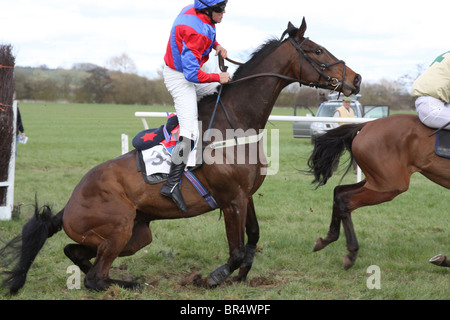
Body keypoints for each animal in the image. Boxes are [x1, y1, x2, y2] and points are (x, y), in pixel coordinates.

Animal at [0, 17, 358, 294]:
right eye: (317, 50)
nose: (356, 78)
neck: (235, 121)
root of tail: (68, 206)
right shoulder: (231, 200)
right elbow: (236, 251)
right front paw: (211, 278)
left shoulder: (245, 195)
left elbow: (253, 238)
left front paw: (242, 276)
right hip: (120, 226)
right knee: (95, 278)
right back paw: (133, 284)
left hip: (136, 234)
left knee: (76, 253)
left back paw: (130, 280)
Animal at [310, 114, 450, 268]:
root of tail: (367, 125)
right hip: (389, 185)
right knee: (345, 199)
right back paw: (352, 252)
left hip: (376, 181)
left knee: (339, 191)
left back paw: (328, 238)